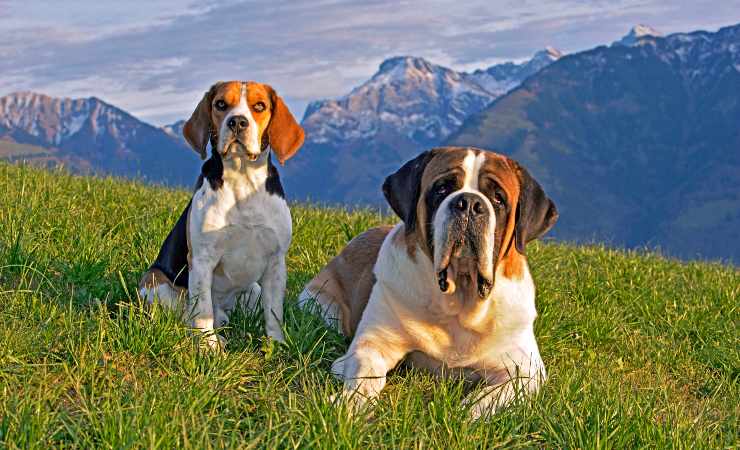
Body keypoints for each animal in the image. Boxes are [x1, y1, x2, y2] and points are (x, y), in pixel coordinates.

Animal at [139, 81, 304, 349]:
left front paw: (276, 345)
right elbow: (202, 310)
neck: (243, 179)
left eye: (260, 106)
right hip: (155, 283)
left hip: (254, 289)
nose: (237, 122)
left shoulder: (276, 262)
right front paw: (208, 348)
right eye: (220, 104)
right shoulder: (202, 259)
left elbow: (274, 313)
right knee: (189, 314)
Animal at [299, 147, 558, 418]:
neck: (458, 303)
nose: (469, 203)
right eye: (442, 188)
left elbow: (491, 399)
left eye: (498, 198)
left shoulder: (527, 371)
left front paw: (466, 415)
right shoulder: (374, 342)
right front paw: (349, 403)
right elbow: (365, 374)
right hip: (319, 304)